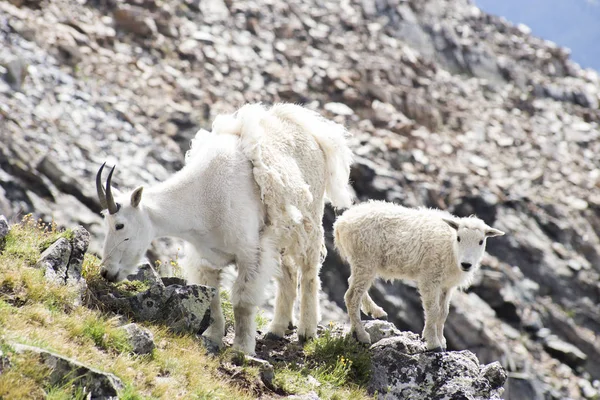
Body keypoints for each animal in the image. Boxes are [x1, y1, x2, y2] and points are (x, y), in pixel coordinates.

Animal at [96, 102, 354, 354]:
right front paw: (213, 337)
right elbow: (212, 296)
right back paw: (277, 328)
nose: (107, 272)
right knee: (288, 274)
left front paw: (242, 349)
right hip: (279, 233)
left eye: (120, 225)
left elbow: (242, 301)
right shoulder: (207, 258)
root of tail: (314, 133)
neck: (202, 199)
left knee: (309, 273)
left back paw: (306, 330)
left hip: (310, 222)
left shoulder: (251, 253)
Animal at [336, 202, 504, 352]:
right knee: (351, 296)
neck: (450, 248)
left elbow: (443, 313)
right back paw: (361, 335)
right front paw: (433, 343)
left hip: (361, 262)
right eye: (459, 238)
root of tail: (341, 222)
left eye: (481, 241)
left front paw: (442, 341)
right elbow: (433, 310)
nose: (466, 264)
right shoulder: (430, 278)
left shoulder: (446, 285)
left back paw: (375, 312)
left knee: (353, 285)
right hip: (365, 259)